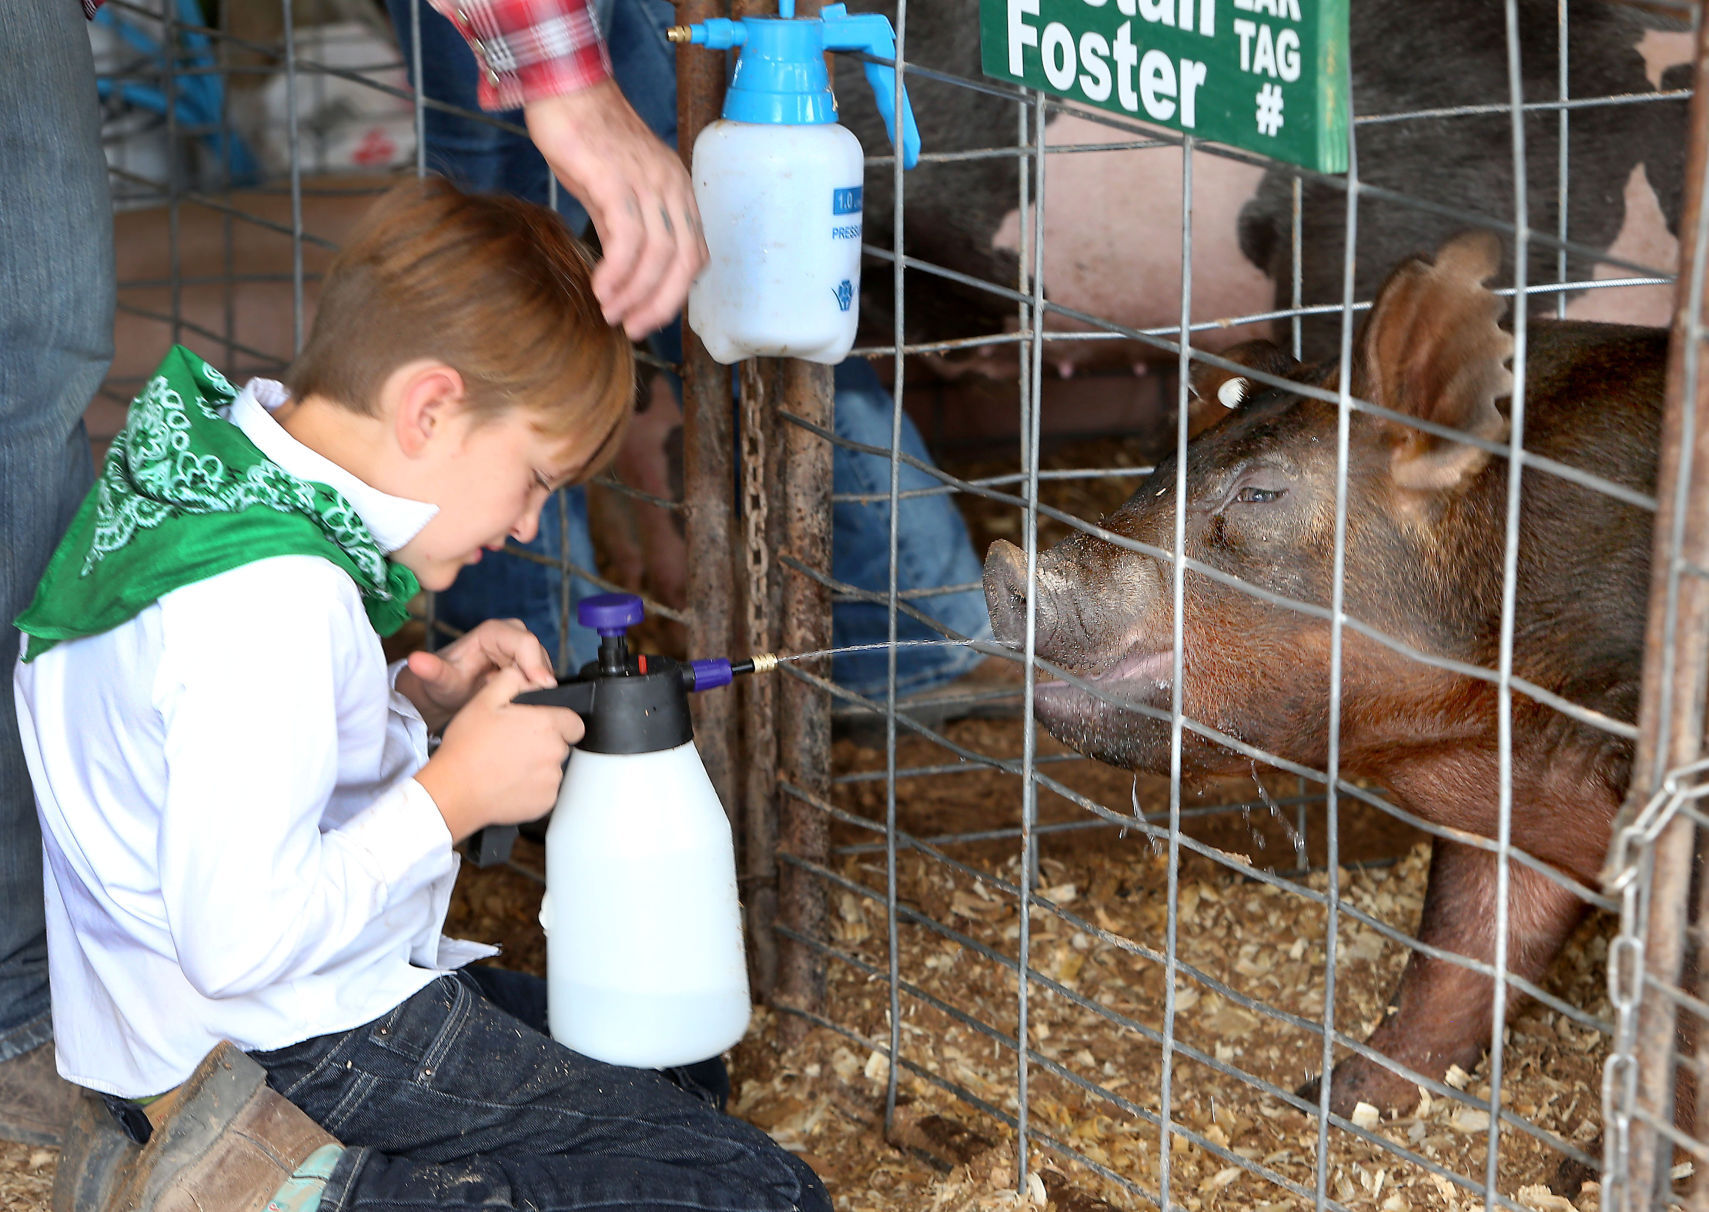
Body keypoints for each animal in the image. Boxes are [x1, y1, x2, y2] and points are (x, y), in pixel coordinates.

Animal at [991, 229, 1667, 1128]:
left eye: (1259, 492)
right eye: (1165, 463)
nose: (1004, 564)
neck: (1483, 723)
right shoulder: (1512, 815)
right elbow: (1456, 961)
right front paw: (1329, 1101)